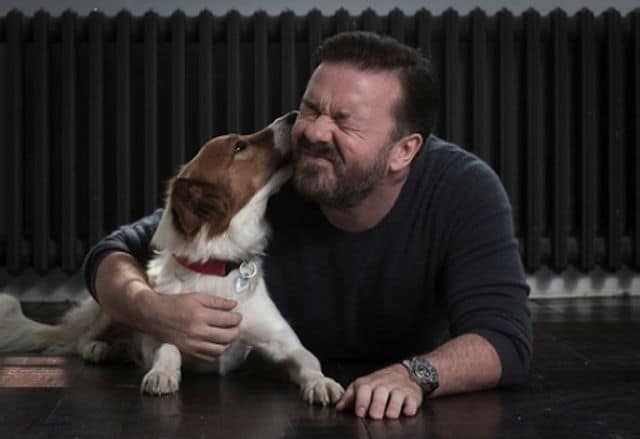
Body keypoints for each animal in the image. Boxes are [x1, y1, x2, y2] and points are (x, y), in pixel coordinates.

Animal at [0, 111, 344, 408]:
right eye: (239, 146)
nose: (293, 115)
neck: (216, 266)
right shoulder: (164, 327)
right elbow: (168, 349)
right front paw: (162, 373)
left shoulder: (283, 340)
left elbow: (308, 359)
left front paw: (321, 382)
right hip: (115, 303)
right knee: (84, 338)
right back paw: (100, 348)